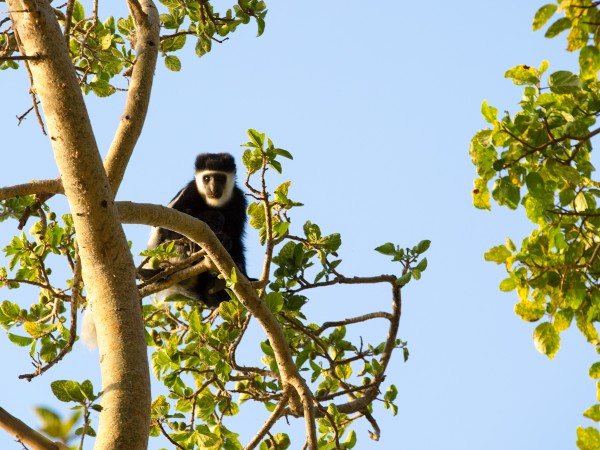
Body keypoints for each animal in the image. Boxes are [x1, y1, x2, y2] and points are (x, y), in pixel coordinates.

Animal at [143, 153, 248, 308]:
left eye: (220, 178)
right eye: (207, 178)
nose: (213, 188)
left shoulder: (239, 200)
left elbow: (236, 236)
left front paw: (228, 244)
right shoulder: (190, 191)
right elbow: (168, 228)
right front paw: (196, 239)